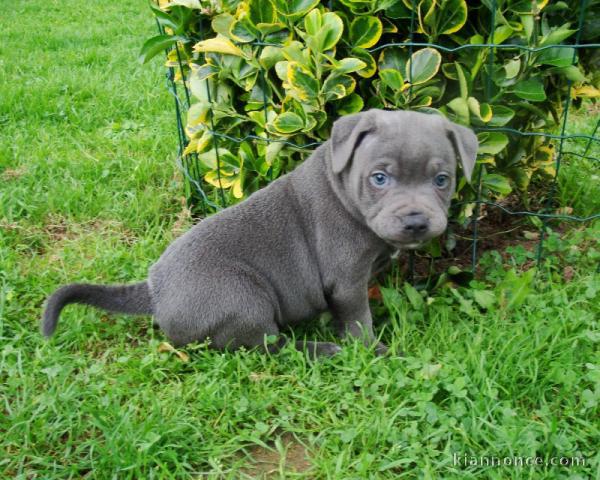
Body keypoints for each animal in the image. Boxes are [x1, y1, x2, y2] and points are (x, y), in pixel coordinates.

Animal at [41, 109, 478, 356]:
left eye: (442, 179)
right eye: (380, 178)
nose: (416, 222)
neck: (344, 188)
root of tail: (154, 290)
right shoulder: (346, 278)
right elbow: (358, 319)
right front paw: (372, 348)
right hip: (244, 300)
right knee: (267, 346)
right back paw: (321, 349)